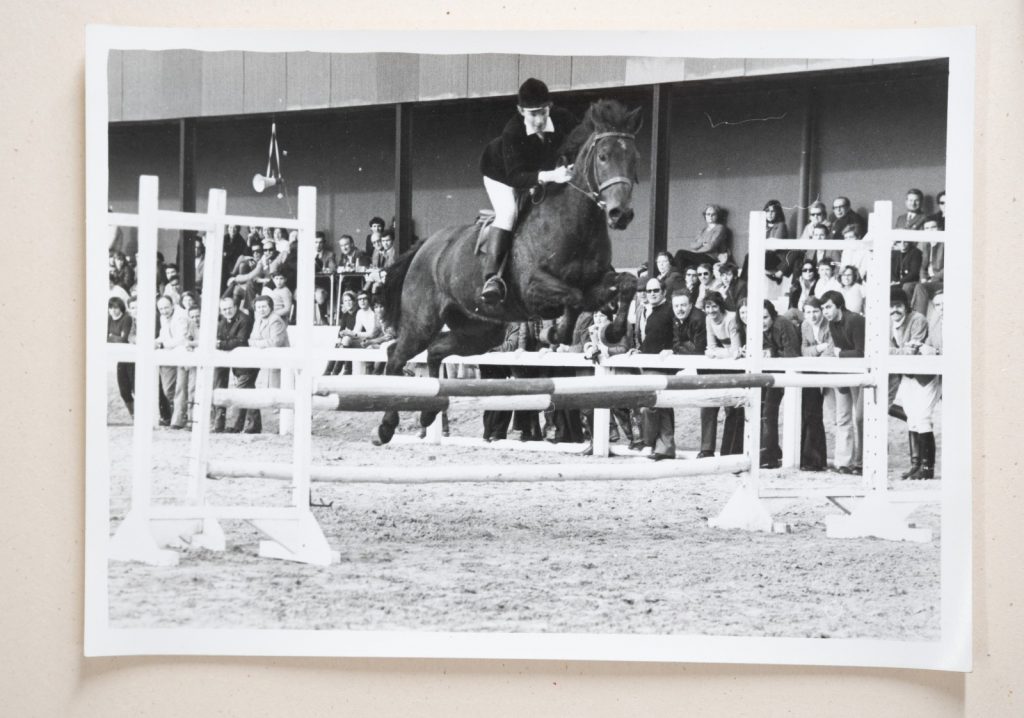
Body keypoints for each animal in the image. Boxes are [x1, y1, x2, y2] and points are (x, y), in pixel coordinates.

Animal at [372, 99, 643, 445]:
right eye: (603, 156)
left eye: (633, 158)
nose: (621, 215)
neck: (574, 223)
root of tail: (424, 247)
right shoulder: (534, 289)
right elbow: (573, 296)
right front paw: (558, 333)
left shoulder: (598, 282)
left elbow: (626, 283)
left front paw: (611, 331)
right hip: (422, 321)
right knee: (397, 353)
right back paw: (385, 426)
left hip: (480, 331)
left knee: (435, 350)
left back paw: (428, 413)